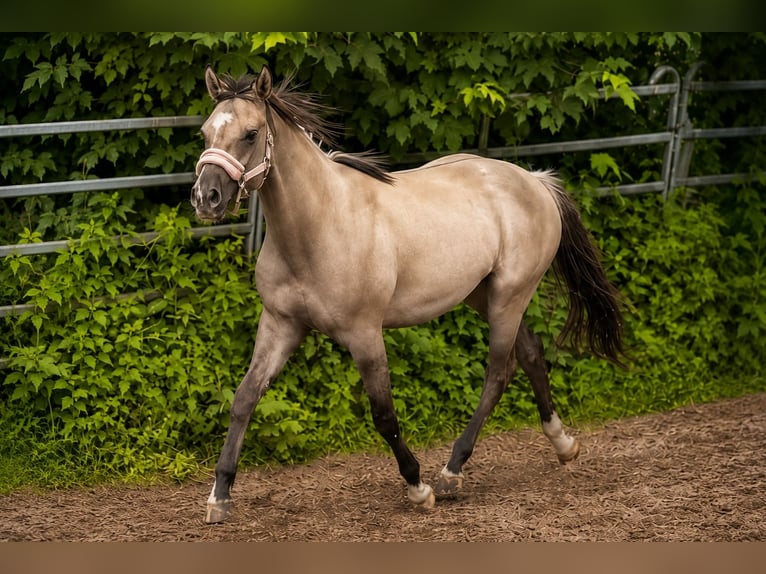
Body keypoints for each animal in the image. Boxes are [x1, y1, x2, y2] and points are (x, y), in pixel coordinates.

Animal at [191, 65, 624, 524]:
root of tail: (536, 182)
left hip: (511, 295)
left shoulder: (364, 334)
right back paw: (563, 444)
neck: (319, 224)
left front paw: (418, 488)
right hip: (485, 296)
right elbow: (244, 398)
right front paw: (219, 497)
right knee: (530, 354)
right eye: (205, 132)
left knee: (498, 372)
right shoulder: (281, 325)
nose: (205, 198)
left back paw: (451, 473)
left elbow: (383, 415)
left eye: (251, 133)